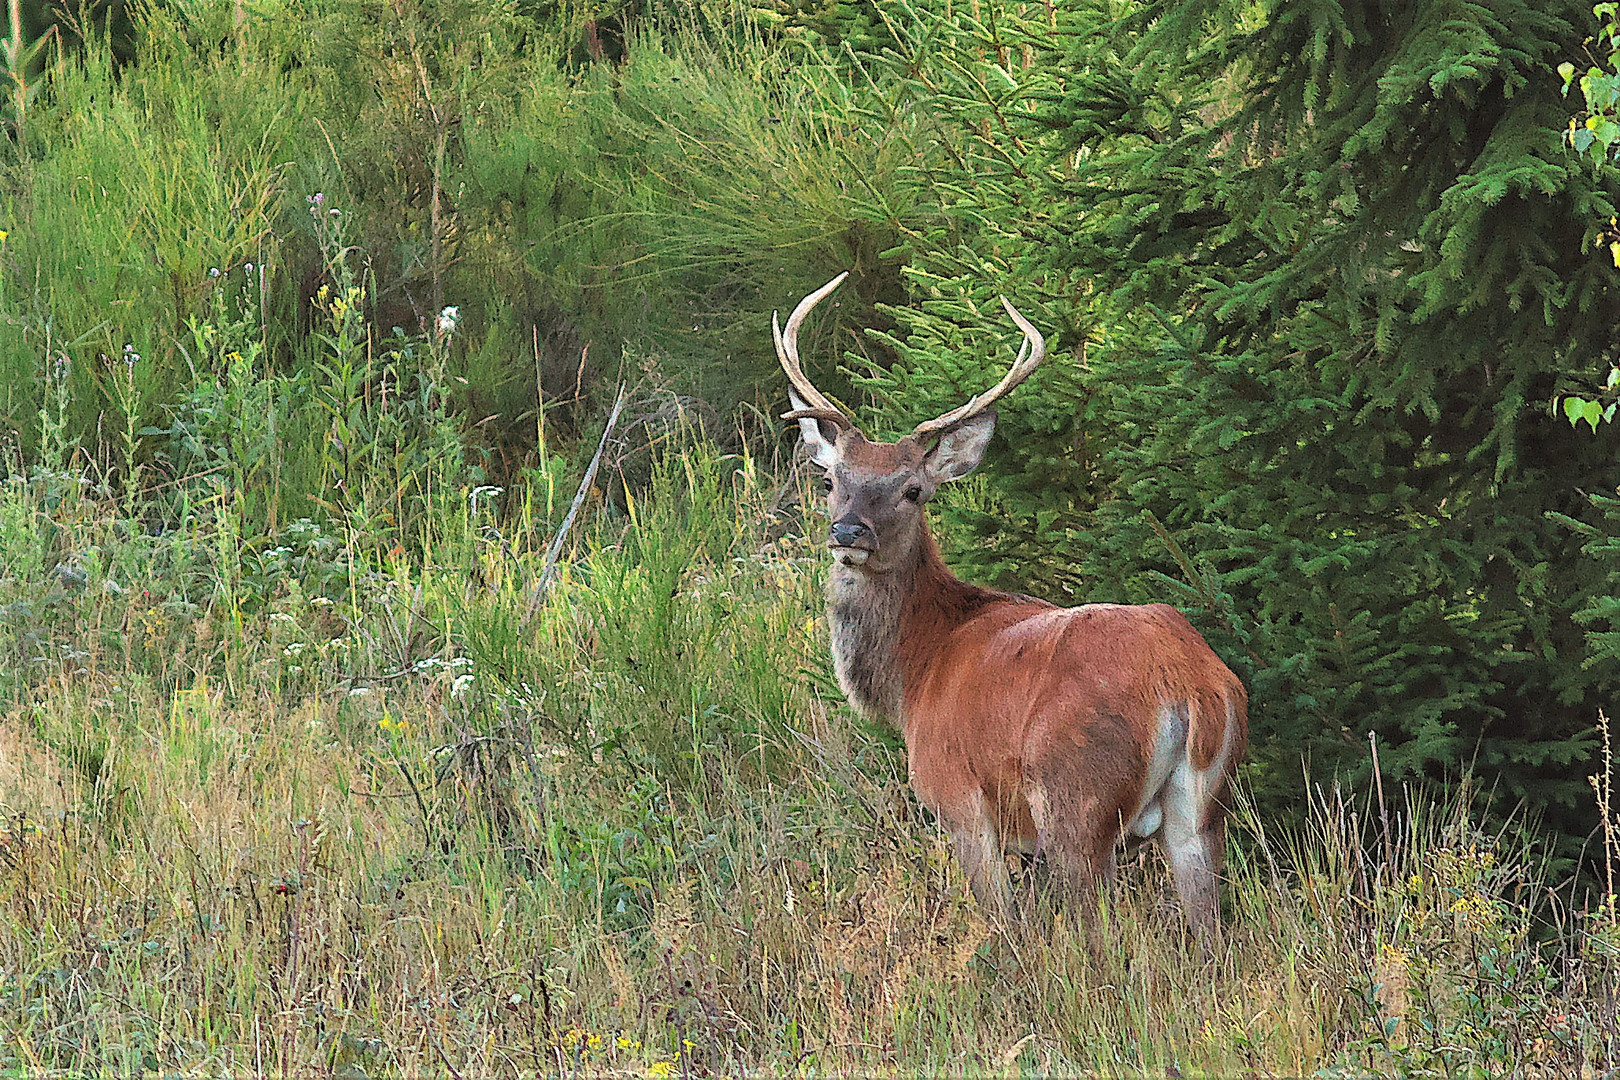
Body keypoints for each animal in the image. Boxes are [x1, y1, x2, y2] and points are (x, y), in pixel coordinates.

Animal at [777, 272, 1244, 939]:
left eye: (913, 489)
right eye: (830, 480)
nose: (849, 532)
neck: (915, 674)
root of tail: (1186, 684)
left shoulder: (959, 801)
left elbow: (1004, 931)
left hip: (1074, 799)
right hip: (1202, 810)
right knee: (1211, 933)